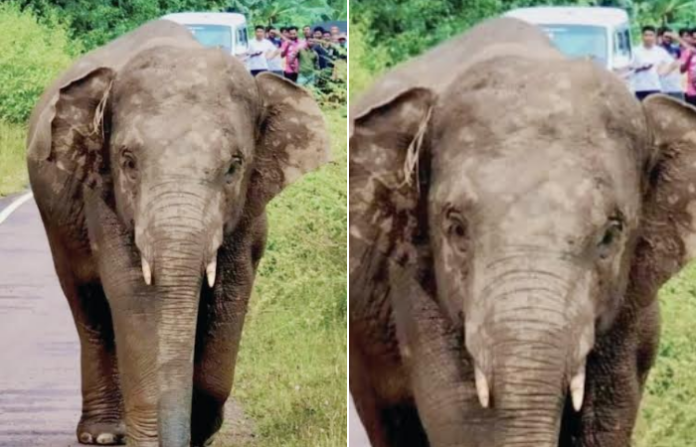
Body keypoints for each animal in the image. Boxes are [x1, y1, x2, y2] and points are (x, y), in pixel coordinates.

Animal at [26, 19, 329, 447]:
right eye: (128, 162)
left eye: (234, 166)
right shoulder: (103, 195)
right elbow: (133, 296)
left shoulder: (248, 210)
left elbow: (229, 292)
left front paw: (200, 427)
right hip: (56, 219)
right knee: (88, 306)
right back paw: (103, 434)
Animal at [349, 17, 696, 447]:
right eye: (456, 228)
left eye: (609, 237)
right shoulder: (416, 279)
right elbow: (464, 419)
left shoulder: (633, 297)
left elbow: (607, 418)